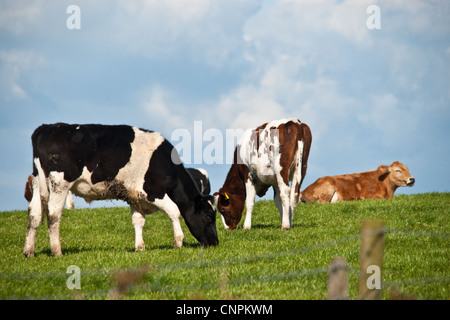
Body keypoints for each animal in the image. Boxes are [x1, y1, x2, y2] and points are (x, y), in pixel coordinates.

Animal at [24, 122, 218, 258]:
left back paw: (29, 251)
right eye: (208, 217)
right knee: (53, 214)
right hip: (59, 182)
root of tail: (45, 128)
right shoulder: (152, 192)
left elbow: (138, 221)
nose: (215, 243)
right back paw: (57, 251)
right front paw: (178, 242)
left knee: (35, 214)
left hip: (38, 181)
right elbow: (174, 211)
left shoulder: (134, 196)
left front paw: (140, 247)